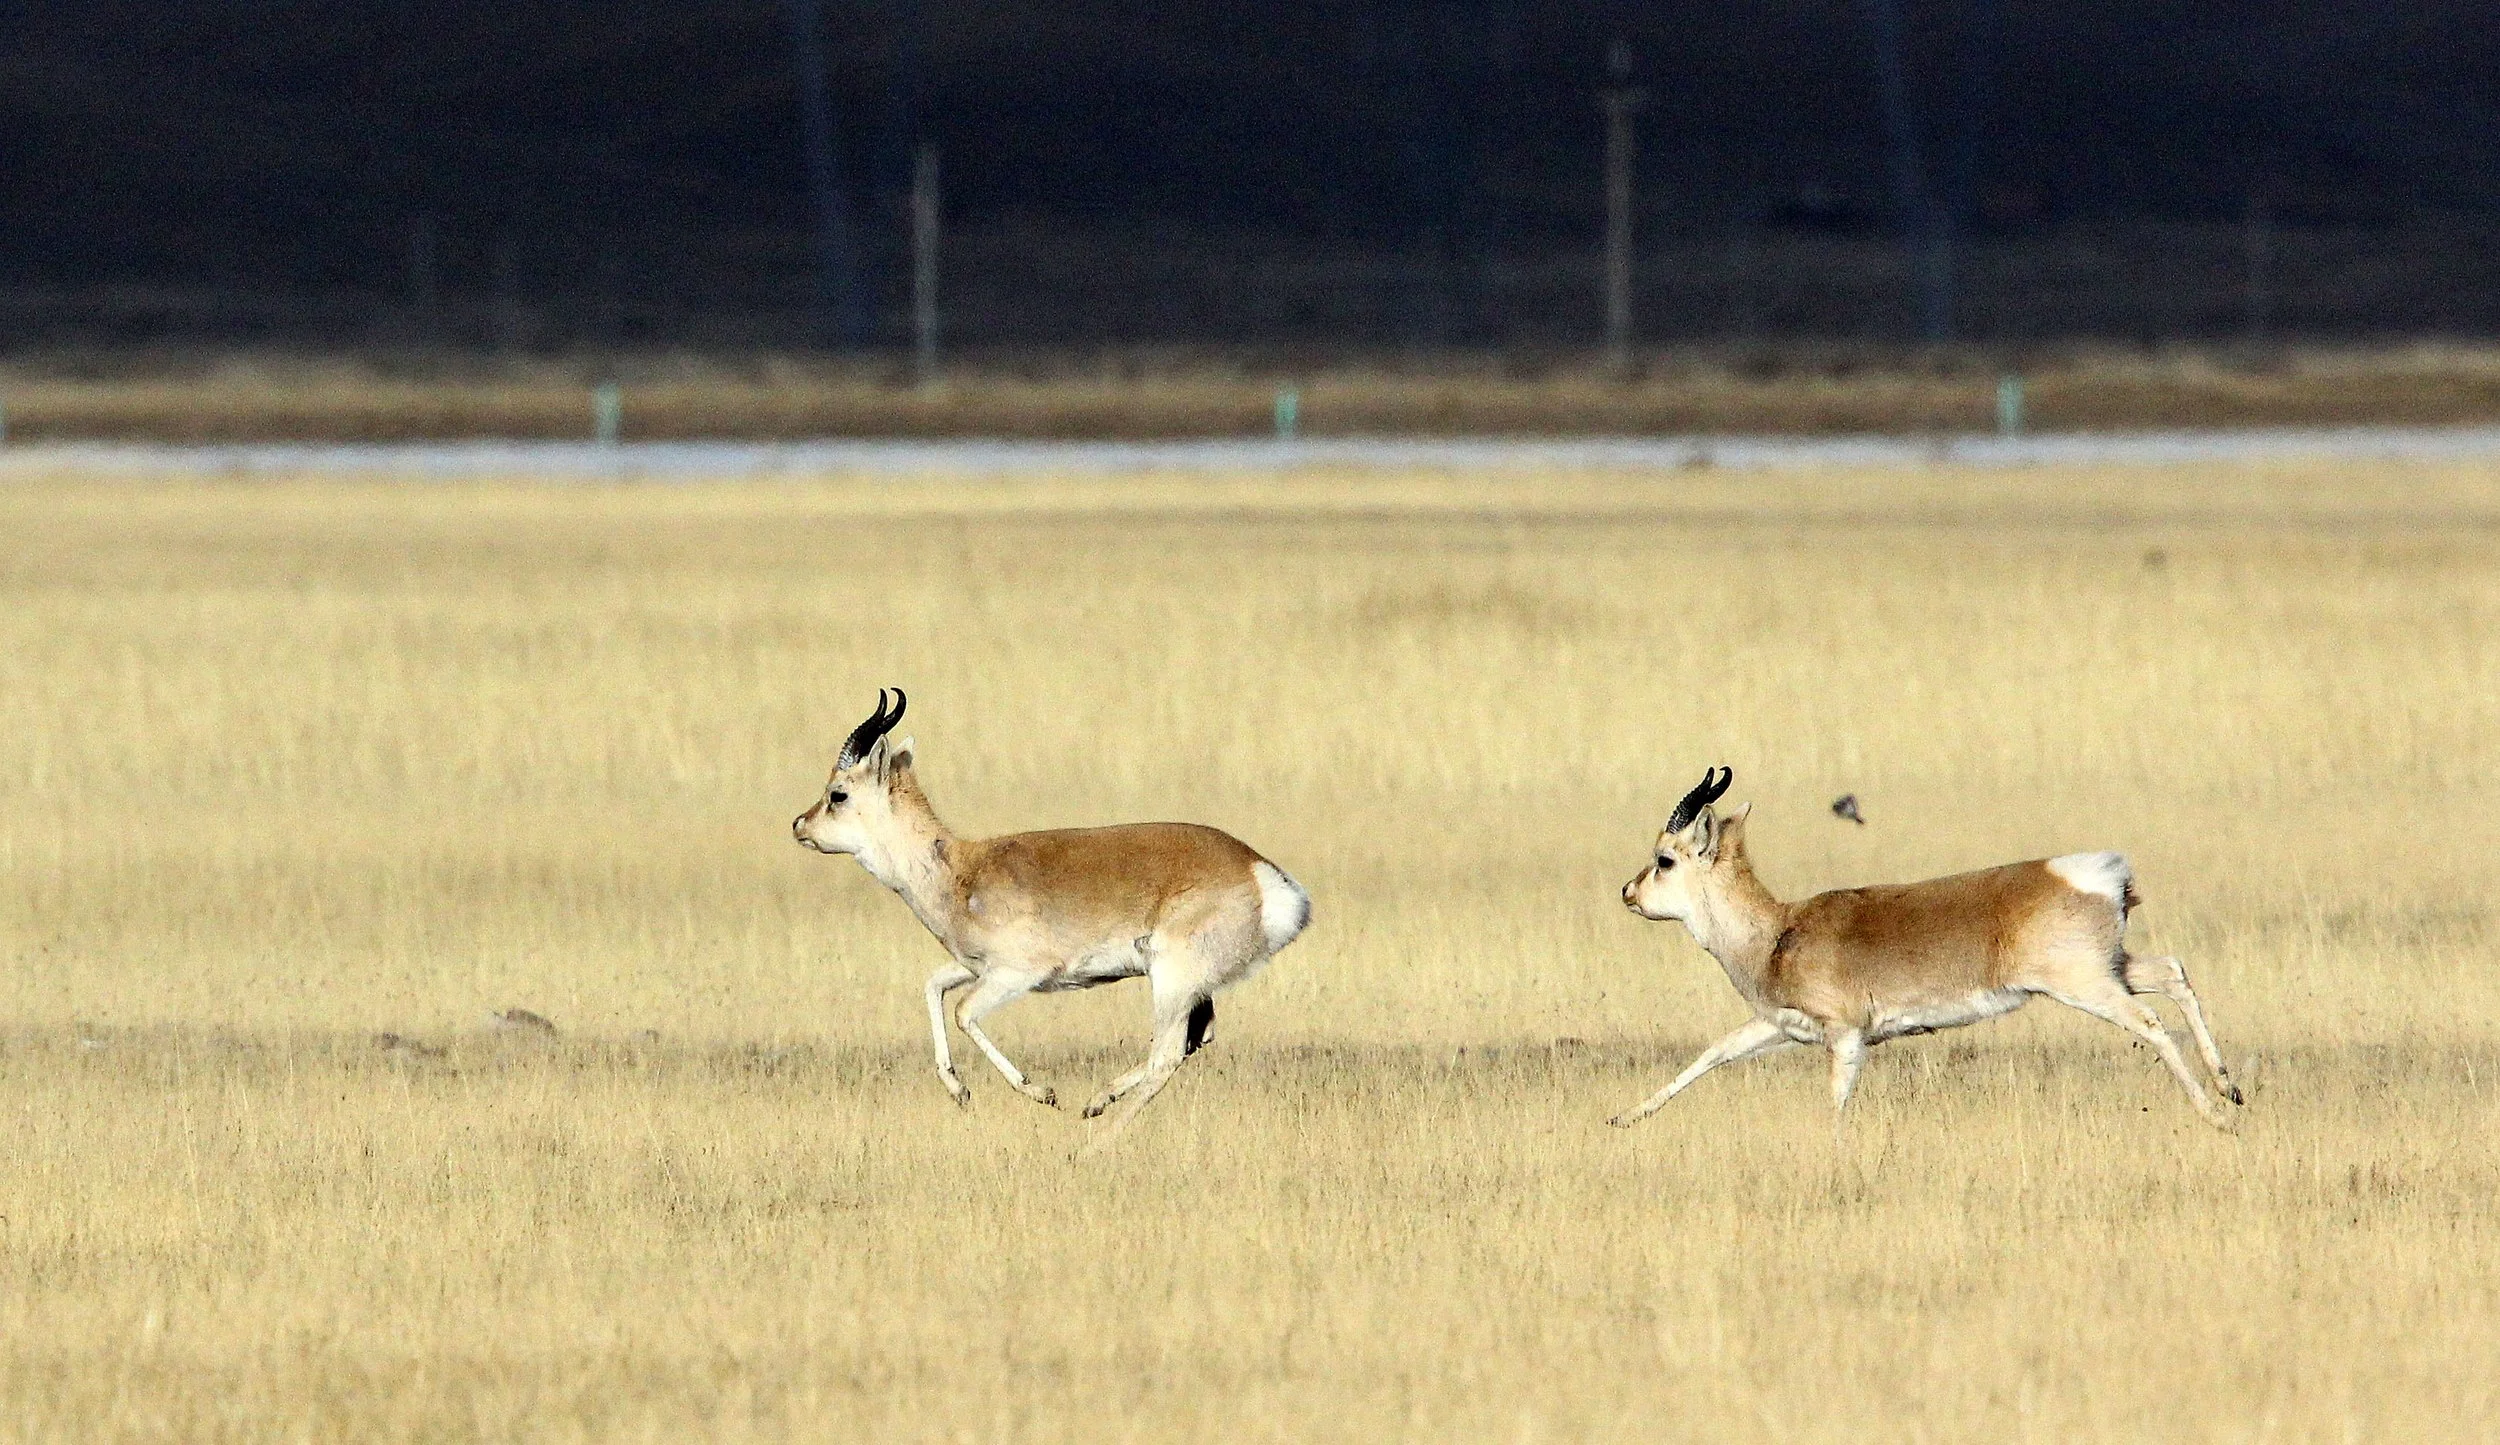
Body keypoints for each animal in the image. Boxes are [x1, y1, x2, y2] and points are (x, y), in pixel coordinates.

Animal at [791, 689, 1311, 1145]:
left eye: (838, 794)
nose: (799, 825)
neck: (962, 871)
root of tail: (1260, 871)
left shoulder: (1017, 974)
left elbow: (963, 1013)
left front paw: (1042, 1092)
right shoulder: (976, 967)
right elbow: (933, 986)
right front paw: (960, 1091)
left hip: (1171, 981)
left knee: (1166, 1054)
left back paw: (1097, 1139)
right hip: (1190, 988)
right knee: (1192, 1041)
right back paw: (1096, 1102)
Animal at [1611, 768, 2244, 1130]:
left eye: (1664, 859)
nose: (1627, 893)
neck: (1778, 933)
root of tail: (2107, 872)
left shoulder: (1845, 1037)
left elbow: (1835, 1103)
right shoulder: (1779, 1026)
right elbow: (1710, 1055)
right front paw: (1623, 1116)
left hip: (2085, 985)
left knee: (2152, 1022)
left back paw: (2217, 1116)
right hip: (2114, 967)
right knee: (2174, 972)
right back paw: (2229, 1088)